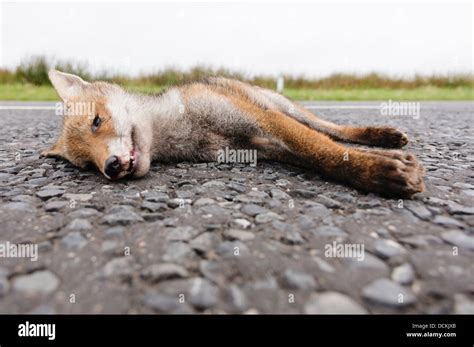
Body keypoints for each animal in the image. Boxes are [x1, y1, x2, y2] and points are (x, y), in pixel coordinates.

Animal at [42, 70, 424, 198]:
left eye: (96, 121)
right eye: (86, 165)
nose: (111, 167)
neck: (185, 128)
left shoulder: (261, 120)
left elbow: (322, 148)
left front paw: (378, 172)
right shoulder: (259, 146)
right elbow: (317, 156)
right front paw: (384, 166)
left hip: (282, 107)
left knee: (331, 129)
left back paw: (382, 135)